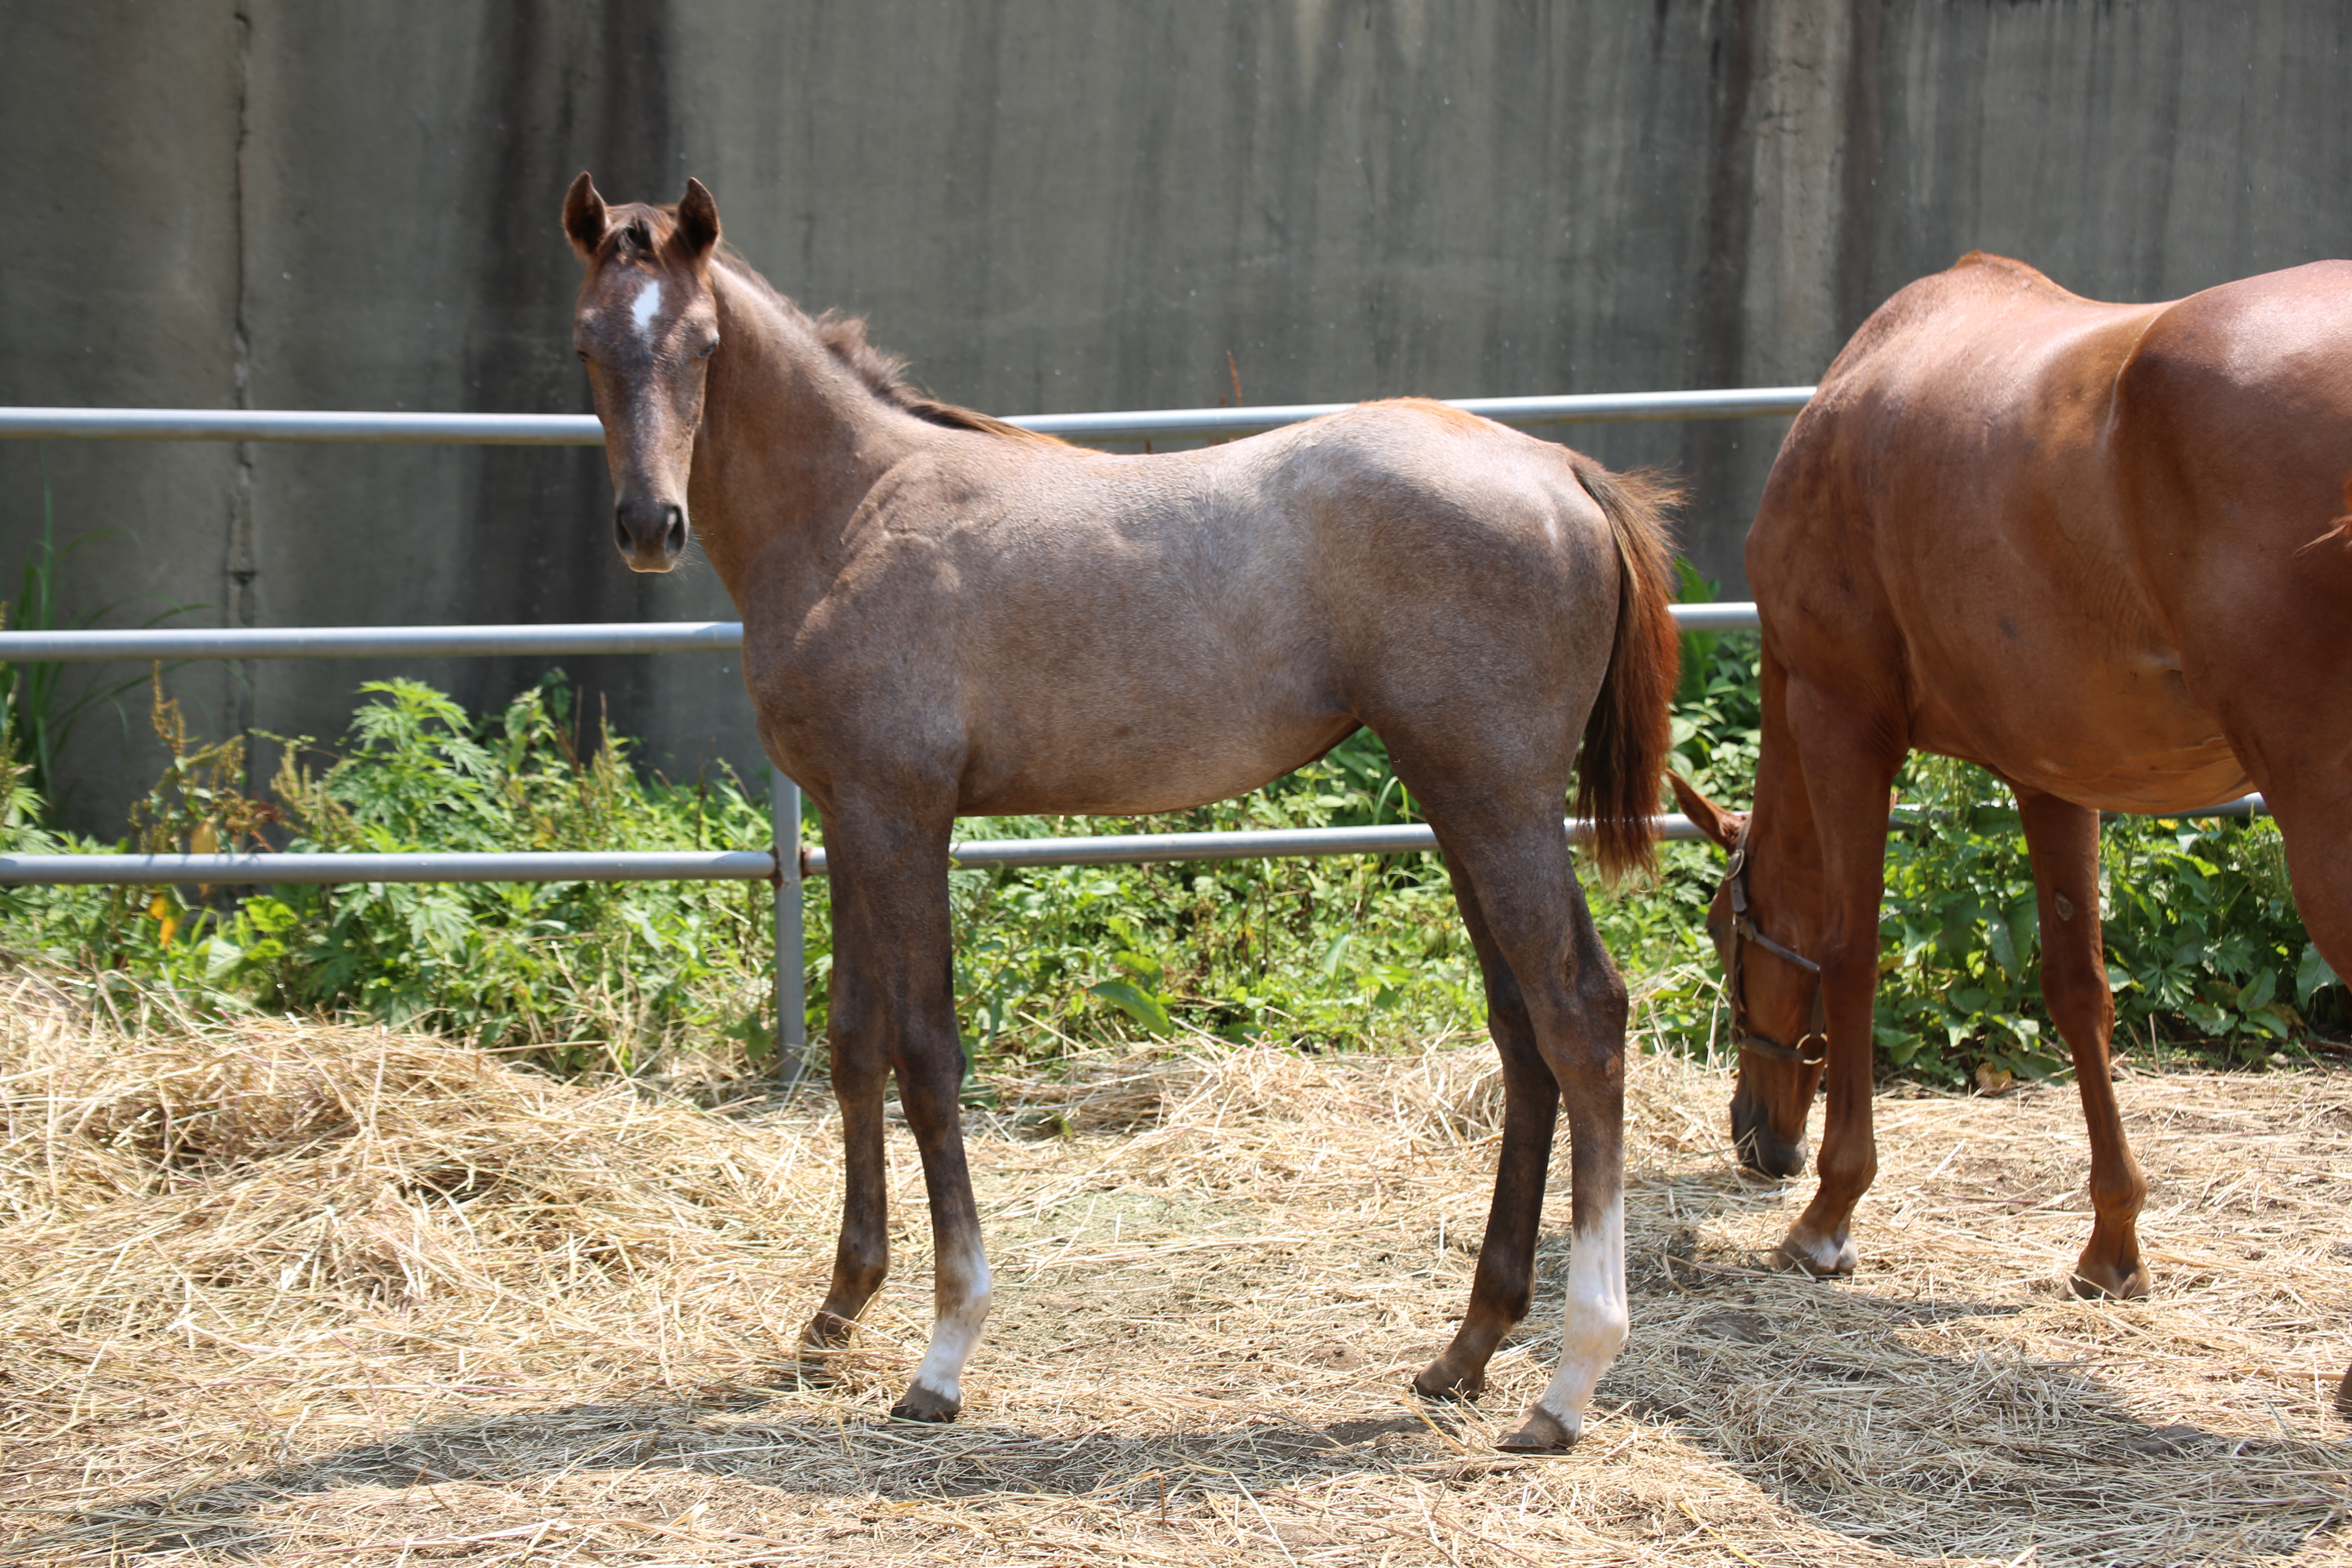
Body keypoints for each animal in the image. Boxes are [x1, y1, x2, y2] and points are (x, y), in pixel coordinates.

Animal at [559, 175, 1684, 1448]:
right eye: (588, 344)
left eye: (702, 345)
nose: (648, 526)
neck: (853, 510)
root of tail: (1561, 470)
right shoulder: (850, 820)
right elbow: (852, 1045)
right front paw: (837, 1311)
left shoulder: (905, 819)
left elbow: (925, 1053)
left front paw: (944, 1354)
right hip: (1460, 803)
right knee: (1522, 1032)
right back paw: (1466, 1350)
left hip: (1497, 801)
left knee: (1581, 1014)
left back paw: (1569, 1381)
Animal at [1665, 252, 2352, 1401]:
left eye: (1726, 934)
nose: (1754, 1139)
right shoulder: (2055, 773)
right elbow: (2079, 993)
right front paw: (2110, 1247)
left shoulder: (1842, 720)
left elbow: (1851, 954)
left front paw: (1828, 1216)